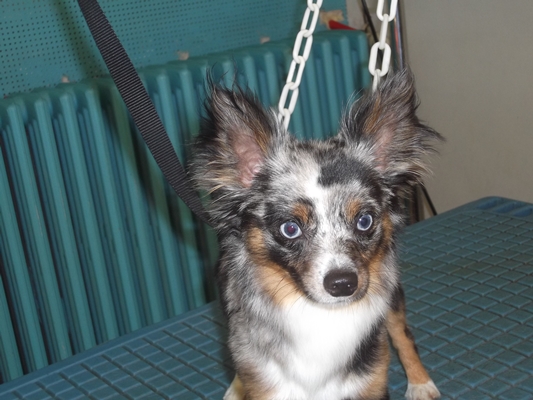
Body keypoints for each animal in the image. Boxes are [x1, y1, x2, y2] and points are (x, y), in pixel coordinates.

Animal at [192, 69, 442, 400]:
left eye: (364, 221)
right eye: (290, 228)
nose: (343, 284)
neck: (319, 314)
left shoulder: (368, 381)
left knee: (402, 332)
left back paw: (420, 382)